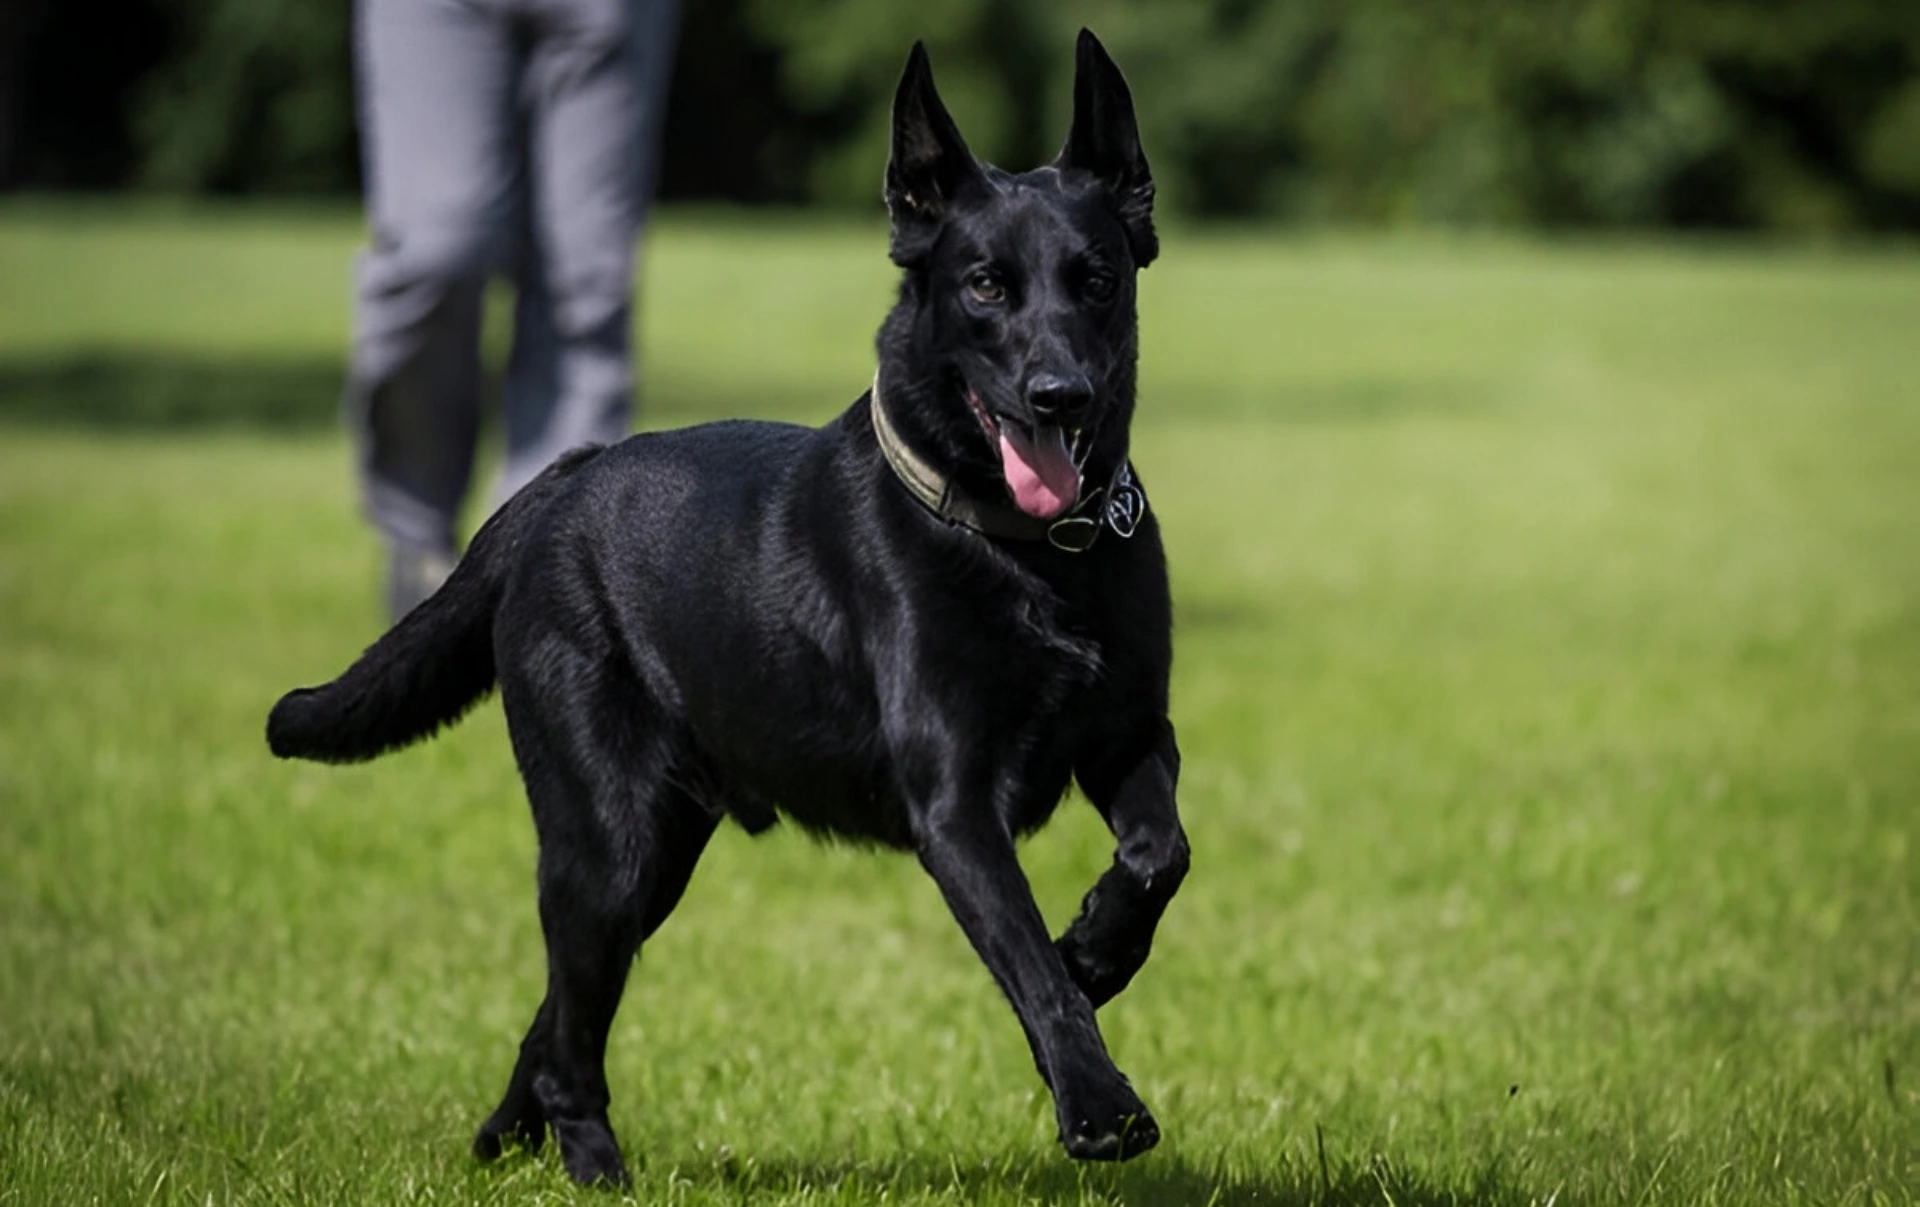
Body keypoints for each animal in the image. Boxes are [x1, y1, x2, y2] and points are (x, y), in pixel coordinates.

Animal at [274, 30, 1182, 1189]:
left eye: (1097, 281)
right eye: (985, 285)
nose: (1061, 393)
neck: (1029, 560)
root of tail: (561, 483)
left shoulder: (1129, 737)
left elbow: (1158, 856)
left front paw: (1099, 944)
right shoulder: (955, 811)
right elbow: (1031, 968)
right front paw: (1100, 1103)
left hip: (657, 854)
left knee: (556, 1014)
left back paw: (507, 1138)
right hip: (609, 846)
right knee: (573, 1026)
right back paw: (593, 1166)